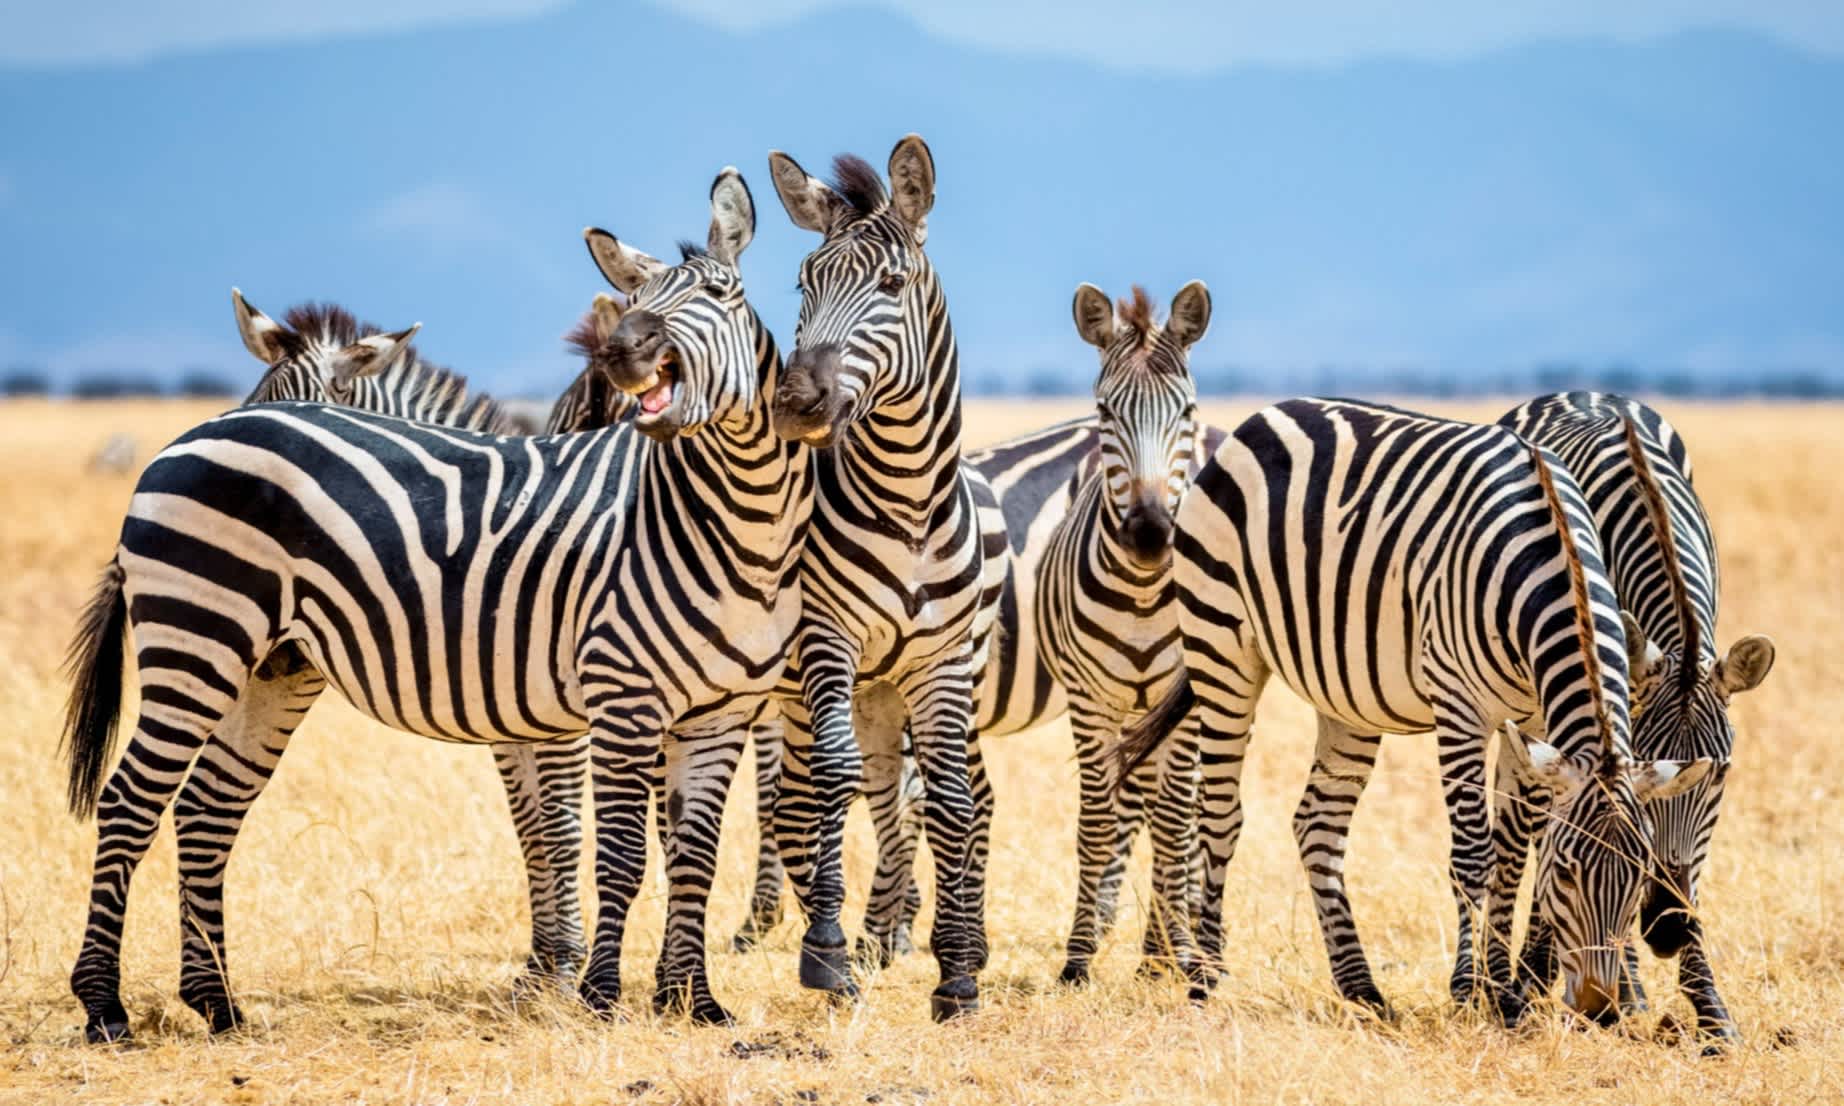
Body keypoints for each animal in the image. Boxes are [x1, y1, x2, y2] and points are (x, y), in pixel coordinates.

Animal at [59, 168, 815, 1039]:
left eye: (722, 293)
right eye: (635, 299)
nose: (625, 352)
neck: (733, 518)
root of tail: (177, 445)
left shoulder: (712, 711)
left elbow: (684, 851)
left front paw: (687, 1000)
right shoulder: (611, 700)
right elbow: (599, 844)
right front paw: (589, 990)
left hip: (269, 667)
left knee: (206, 809)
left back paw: (217, 1002)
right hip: (198, 641)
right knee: (129, 803)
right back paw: (105, 1005)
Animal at [759, 136, 1010, 1017]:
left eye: (892, 287)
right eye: (803, 284)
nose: (796, 404)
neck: (907, 503)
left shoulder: (940, 663)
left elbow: (953, 799)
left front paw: (958, 973)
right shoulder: (826, 641)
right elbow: (832, 784)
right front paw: (828, 952)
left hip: (900, 686)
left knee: (913, 796)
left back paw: (904, 935)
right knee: (829, 794)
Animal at [1040, 280, 1224, 980]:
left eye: (1187, 410)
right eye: (1104, 412)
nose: (1149, 535)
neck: (1145, 594)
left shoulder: (1190, 702)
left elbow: (1174, 825)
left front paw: (1186, 954)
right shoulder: (1089, 701)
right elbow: (1097, 822)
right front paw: (1077, 958)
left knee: (1189, 812)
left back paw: (1168, 947)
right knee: (1130, 804)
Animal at [1113, 394, 1718, 1017]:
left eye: (1640, 876)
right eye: (1567, 874)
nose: (1600, 1008)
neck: (1552, 562)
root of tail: (1265, 416)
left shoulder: (1531, 719)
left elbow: (1510, 853)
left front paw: (1504, 993)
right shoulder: (1459, 707)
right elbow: (1475, 855)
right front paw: (1471, 991)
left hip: (1345, 695)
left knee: (1318, 823)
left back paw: (1360, 988)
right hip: (1223, 646)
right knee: (1220, 814)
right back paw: (1205, 977)